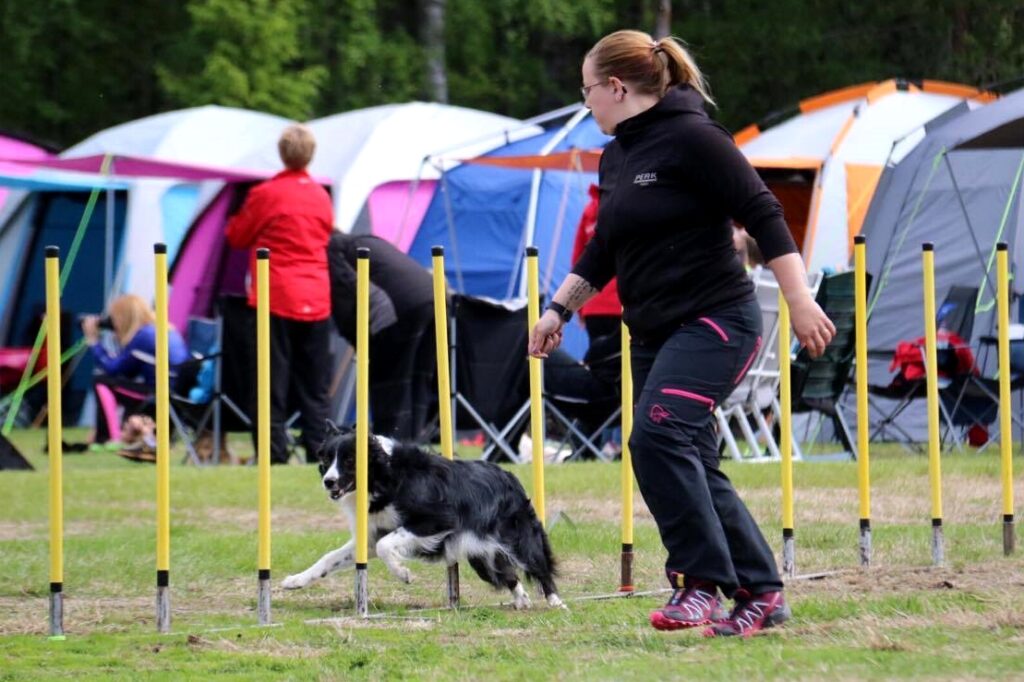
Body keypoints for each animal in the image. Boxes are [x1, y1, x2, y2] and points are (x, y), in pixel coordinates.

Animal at [282, 421, 569, 606]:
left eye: (350, 461)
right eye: (325, 460)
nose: (328, 482)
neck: (384, 477)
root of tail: (510, 477)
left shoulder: (436, 518)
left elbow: (388, 545)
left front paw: (403, 573)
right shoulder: (371, 537)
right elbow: (330, 558)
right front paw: (295, 581)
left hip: (517, 538)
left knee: (539, 567)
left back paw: (556, 603)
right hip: (482, 555)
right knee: (508, 576)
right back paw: (522, 601)